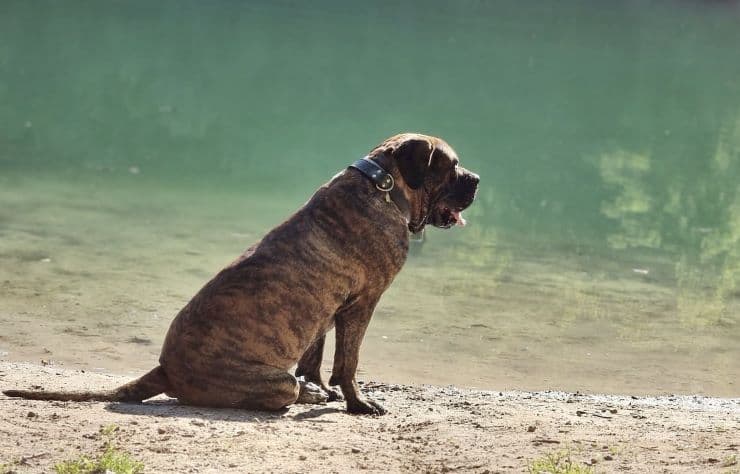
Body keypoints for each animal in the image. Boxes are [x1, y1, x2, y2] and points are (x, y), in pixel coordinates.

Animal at [2, 133, 480, 414]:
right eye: (453, 165)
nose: (476, 178)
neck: (384, 186)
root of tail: (163, 370)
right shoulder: (361, 306)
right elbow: (349, 362)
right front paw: (358, 403)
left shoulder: (326, 312)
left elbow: (315, 358)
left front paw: (322, 388)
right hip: (271, 382)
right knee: (284, 392)